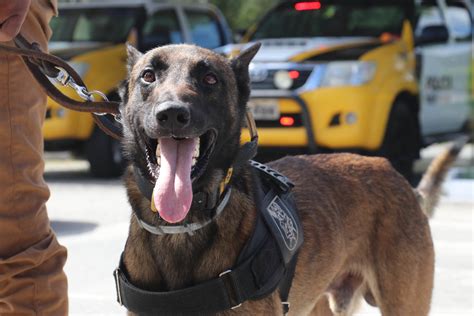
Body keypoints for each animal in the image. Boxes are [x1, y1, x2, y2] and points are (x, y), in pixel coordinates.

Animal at [116, 42, 464, 316]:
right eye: (149, 76)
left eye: (209, 79)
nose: (172, 114)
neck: (181, 227)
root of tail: (400, 179)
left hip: (404, 302)